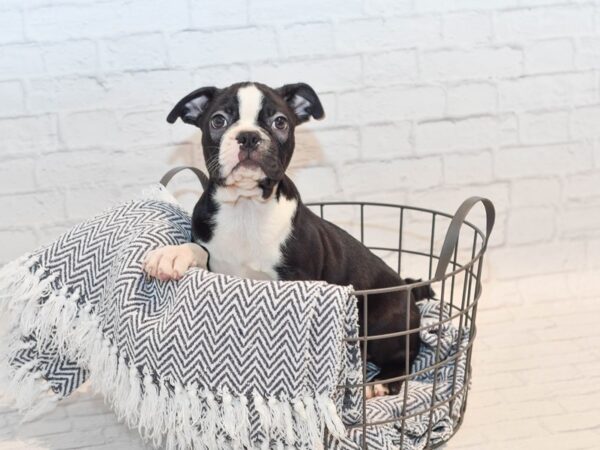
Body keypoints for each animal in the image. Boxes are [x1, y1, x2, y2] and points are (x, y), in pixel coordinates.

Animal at [145, 81, 424, 398]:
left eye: (280, 122)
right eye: (218, 121)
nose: (249, 136)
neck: (246, 207)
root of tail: (409, 290)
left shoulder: (297, 276)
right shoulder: (215, 263)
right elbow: (197, 249)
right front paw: (171, 255)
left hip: (387, 323)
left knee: (404, 357)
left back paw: (381, 382)